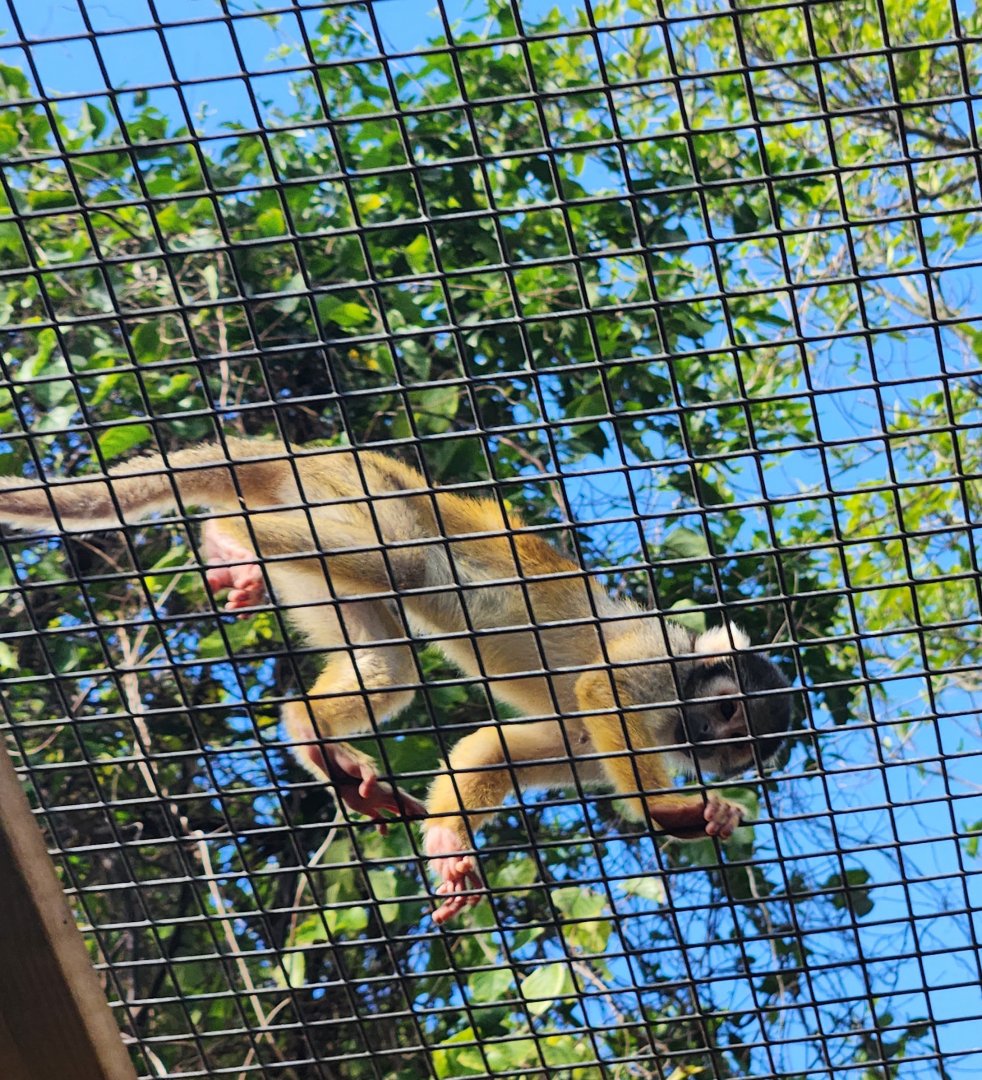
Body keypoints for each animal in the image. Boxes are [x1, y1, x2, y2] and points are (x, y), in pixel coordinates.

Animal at [0, 438, 793, 923]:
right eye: (728, 713)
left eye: (741, 749)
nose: (711, 745)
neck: (680, 690)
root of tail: (306, 454)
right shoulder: (650, 659)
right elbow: (602, 692)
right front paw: (673, 813)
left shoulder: (592, 745)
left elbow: (502, 748)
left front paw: (449, 845)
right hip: (359, 496)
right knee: (399, 560)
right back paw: (235, 538)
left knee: (390, 661)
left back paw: (306, 723)